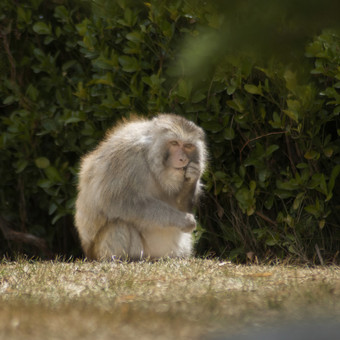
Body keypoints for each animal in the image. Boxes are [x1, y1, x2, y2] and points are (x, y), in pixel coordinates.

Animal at [74, 113, 207, 258]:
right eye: (174, 143)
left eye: (188, 146)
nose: (183, 159)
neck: (150, 158)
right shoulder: (128, 158)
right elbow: (116, 202)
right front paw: (182, 220)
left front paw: (192, 177)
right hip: (99, 252)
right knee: (119, 225)